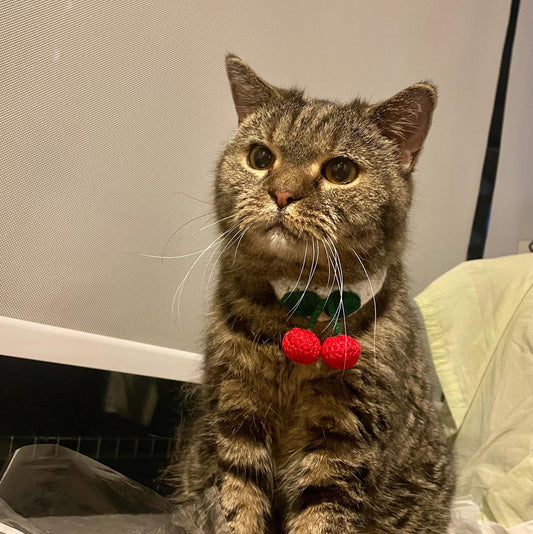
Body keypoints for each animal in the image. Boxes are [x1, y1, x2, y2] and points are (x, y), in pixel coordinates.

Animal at [166, 56, 454, 532]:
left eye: (340, 171)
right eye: (260, 157)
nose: (282, 193)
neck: (302, 308)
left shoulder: (344, 442)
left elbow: (322, 518)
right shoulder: (236, 418)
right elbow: (237, 507)